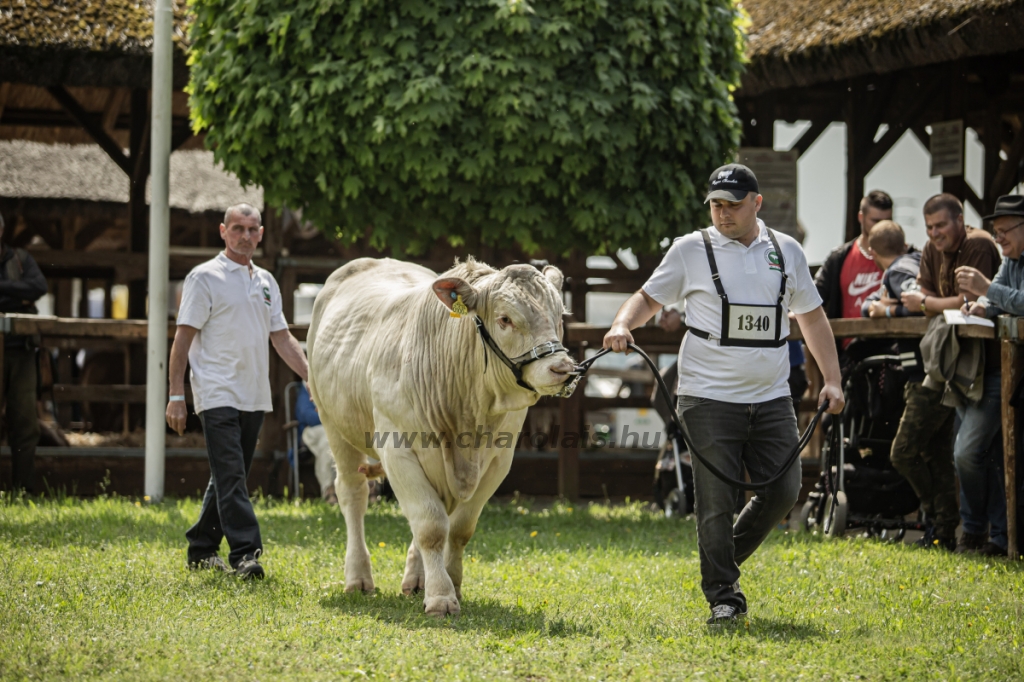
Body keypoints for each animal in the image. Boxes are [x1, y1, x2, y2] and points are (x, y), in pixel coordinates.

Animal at [303, 256, 577, 614]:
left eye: (559, 316)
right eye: (505, 319)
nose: (563, 369)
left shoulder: (498, 461)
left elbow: (458, 528)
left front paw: (451, 583)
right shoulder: (397, 449)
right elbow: (430, 526)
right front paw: (441, 597)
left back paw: (416, 578)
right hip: (334, 426)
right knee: (353, 495)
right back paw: (359, 577)